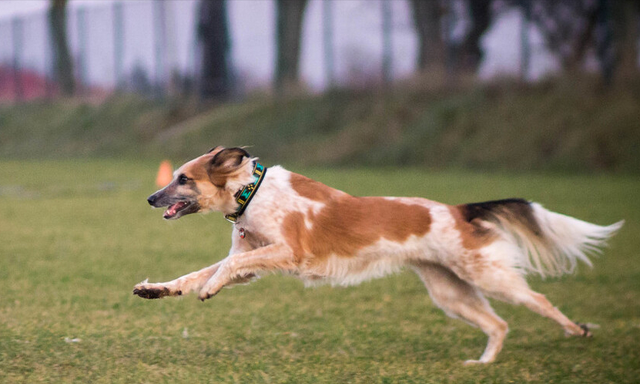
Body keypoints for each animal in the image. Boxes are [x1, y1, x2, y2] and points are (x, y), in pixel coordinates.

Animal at [134, 146, 620, 364]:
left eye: (183, 178)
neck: (251, 192)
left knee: (539, 301)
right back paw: (482, 365)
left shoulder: (289, 251)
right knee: (498, 325)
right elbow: (195, 273)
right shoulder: (256, 257)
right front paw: (157, 289)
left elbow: (225, 268)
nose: (150, 198)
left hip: (486, 275)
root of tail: (459, 210)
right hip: (450, 292)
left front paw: (210, 290)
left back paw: (578, 330)